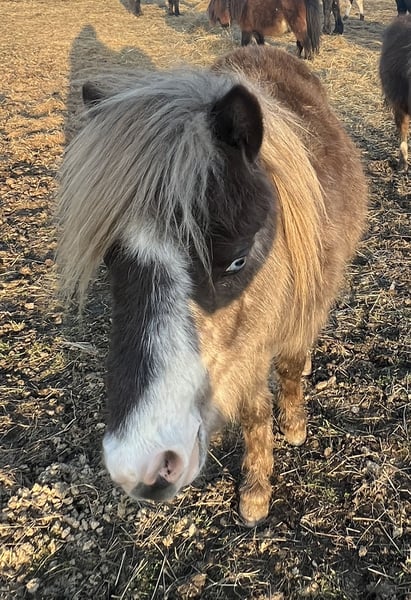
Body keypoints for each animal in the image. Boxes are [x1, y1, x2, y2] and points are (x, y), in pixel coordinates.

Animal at [57, 46, 368, 527]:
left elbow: (290, 367)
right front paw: (256, 491)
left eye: (237, 260)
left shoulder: (298, 317)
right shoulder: (248, 350)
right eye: (110, 259)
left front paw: (293, 427)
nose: (143, 463)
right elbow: (255, 411)